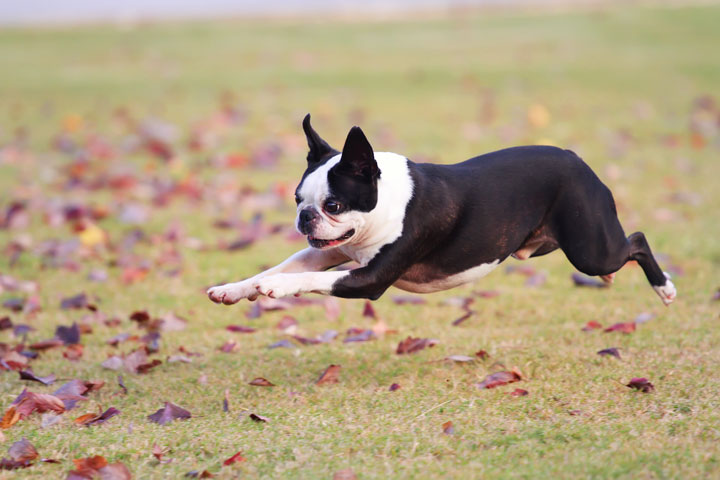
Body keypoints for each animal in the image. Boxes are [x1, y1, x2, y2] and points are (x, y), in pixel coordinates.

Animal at [207, 114, 676, 306]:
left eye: (333, 204)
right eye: (297, 198)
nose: (305, 218)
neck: (387, 200)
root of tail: (576, 158)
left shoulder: (369, 278)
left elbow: (299, 278)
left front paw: (274, 289)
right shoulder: (327, 250)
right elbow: (283, 266)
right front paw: (234, 289)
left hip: (590, 248)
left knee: (635, 240)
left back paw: (664, 287)